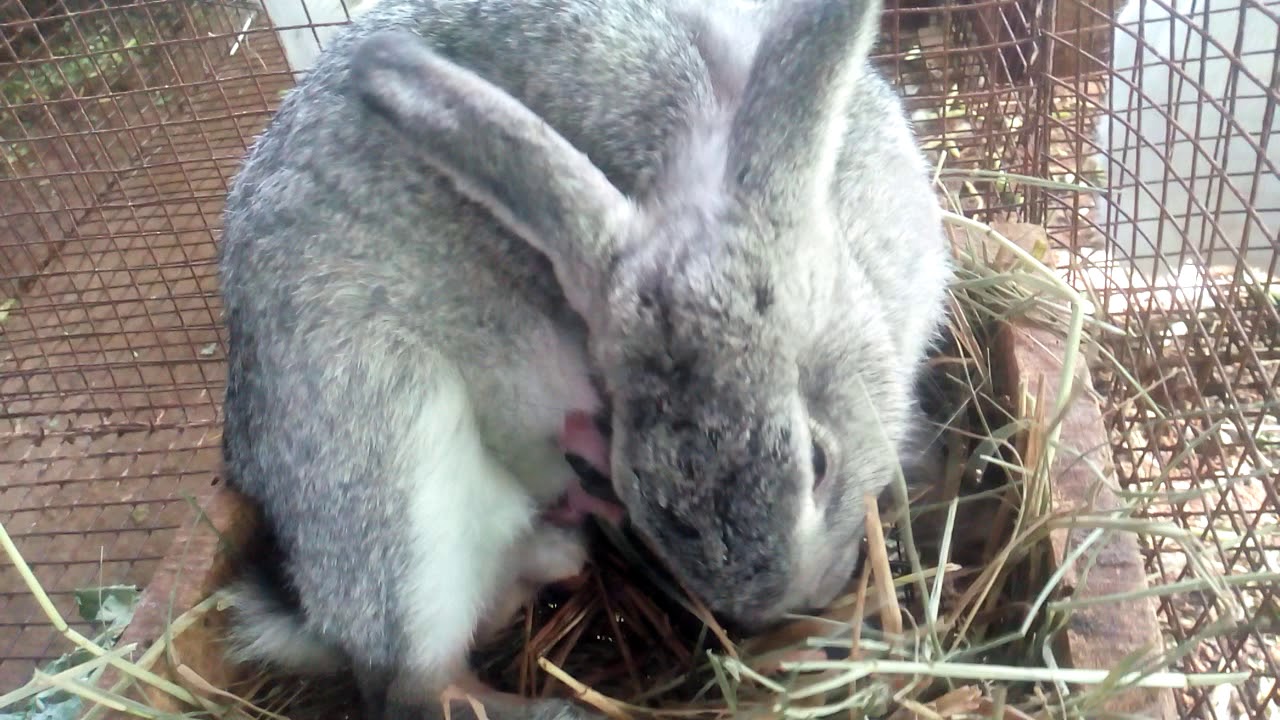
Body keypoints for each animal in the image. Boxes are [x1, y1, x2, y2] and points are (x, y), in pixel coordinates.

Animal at [215, 0, 953, 717]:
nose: (788, 604)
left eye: (819, 461)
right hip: (399, 472)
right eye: (633, 480)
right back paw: (558, 708)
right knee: (411, 689)